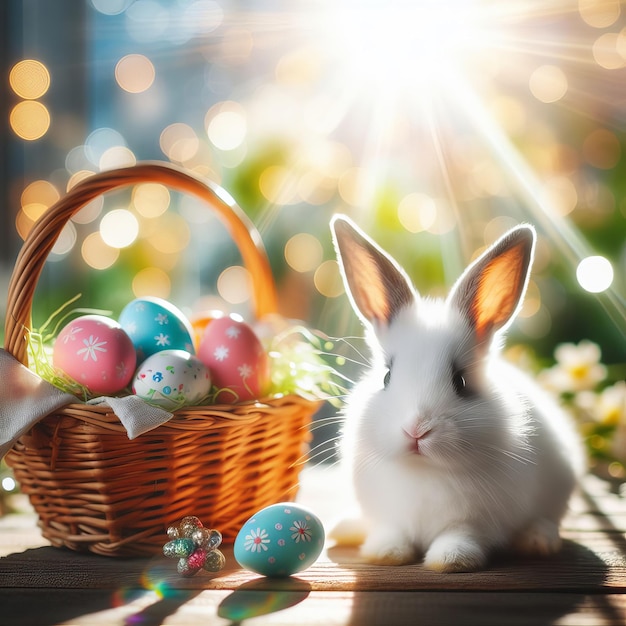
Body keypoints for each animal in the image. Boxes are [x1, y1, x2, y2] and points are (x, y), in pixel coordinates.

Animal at [330, 214, 584, 572]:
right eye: (387, 377)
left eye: (461, 381)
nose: (417, 429)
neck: (425, 471)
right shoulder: (388, 516)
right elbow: (391, 530)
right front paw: (386, 553)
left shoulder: (476, 522)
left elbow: (461, 536)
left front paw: (451, 560)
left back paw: (538, 540)